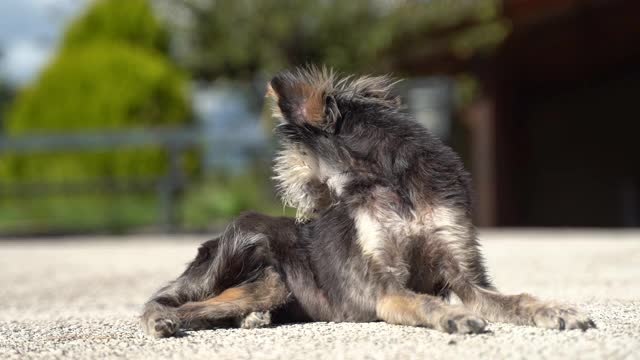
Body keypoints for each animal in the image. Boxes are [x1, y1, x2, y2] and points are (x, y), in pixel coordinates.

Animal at [140, 67, 596, 338]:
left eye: (289, 159)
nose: (302, 212)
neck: (396, 186)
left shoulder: (466, 277)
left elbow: (515, 299)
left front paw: (556, 309)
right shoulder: (384, 285)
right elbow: (422, 300)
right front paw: (452, 316)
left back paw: (251, 318)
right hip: (256, 249)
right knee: (174, 301)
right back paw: (164, 319)